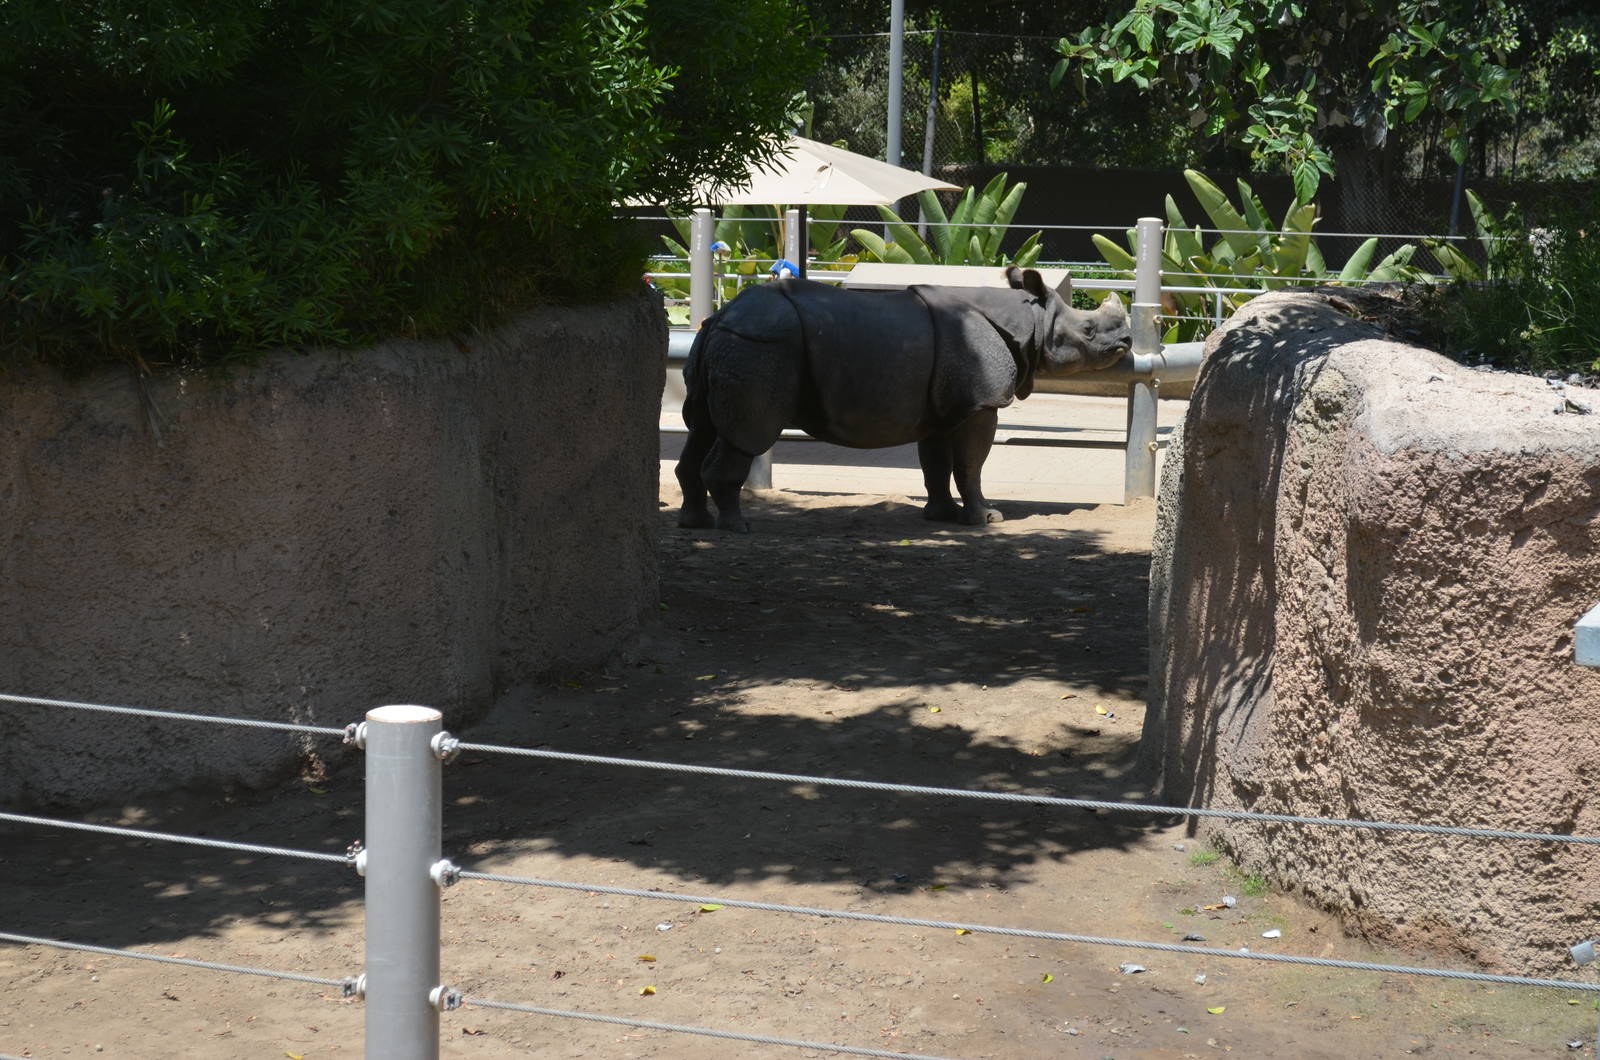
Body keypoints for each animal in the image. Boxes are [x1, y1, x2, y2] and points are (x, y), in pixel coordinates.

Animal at [675, 266, 1132, 531]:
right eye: (1088, 330)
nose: (1127, 341)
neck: (1032, 319)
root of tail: (720, 317)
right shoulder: (982, 402)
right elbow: (970, 463)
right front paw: (986, 519)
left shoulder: (942, 406)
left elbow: (936, 464)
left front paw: (940, 517)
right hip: (762, 346)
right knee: (746, 435)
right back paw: (736, 527)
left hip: (731, 343)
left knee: (701, 427)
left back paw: (695, 524)